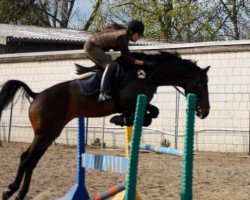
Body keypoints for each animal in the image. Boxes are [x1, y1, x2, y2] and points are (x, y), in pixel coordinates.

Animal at [0, 50, 210, 199]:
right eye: (201, 84)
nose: (205, 112)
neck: (149, 74)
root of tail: (36, 96)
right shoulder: (129, 101)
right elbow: (148, 114)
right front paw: (121, 119)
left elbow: (153, 113)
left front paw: (122, 119)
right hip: (45, 133)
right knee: (28, 159)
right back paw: (13, 191)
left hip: (48, 134)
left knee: (29, 159)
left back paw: (17, 192)